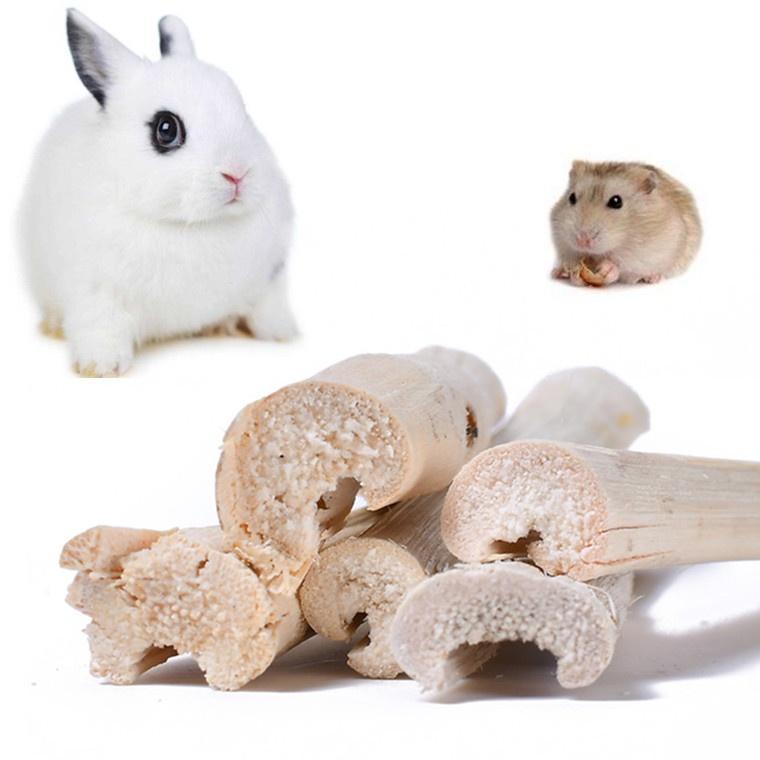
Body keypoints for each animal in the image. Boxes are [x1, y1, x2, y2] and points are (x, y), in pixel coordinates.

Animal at [18, 10, 298, 376]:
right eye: (166, 129)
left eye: (243, 111)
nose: (237, 173)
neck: (190, 225)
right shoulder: (94, 290)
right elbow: (99, 326)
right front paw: (101, 367)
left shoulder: (269, 278)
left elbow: (266, 308)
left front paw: (282, 334)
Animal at [550, 161, 702, 287]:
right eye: (572, 197)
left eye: (616, 201)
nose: (582, 240)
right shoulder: (564, 244)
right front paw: (574, 272)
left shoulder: (645, 253)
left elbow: (623, 267)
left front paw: (606, 268)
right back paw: (556, 272)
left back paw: (652, 278)